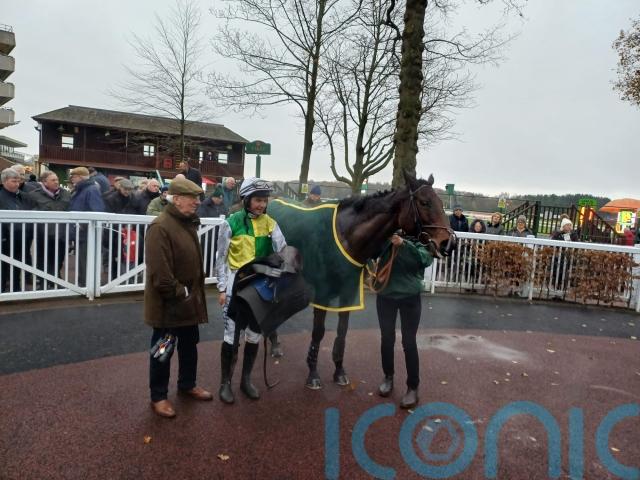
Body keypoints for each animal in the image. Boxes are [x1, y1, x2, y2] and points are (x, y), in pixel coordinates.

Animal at [267, 171, 454, 389]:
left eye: (441, 202)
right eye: (424, 202)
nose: (448, 242)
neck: (346, 236)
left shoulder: (348, 292)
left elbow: (342, 331)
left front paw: (339, 371)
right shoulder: (322, 293)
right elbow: (318, 331)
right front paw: (313, 374)